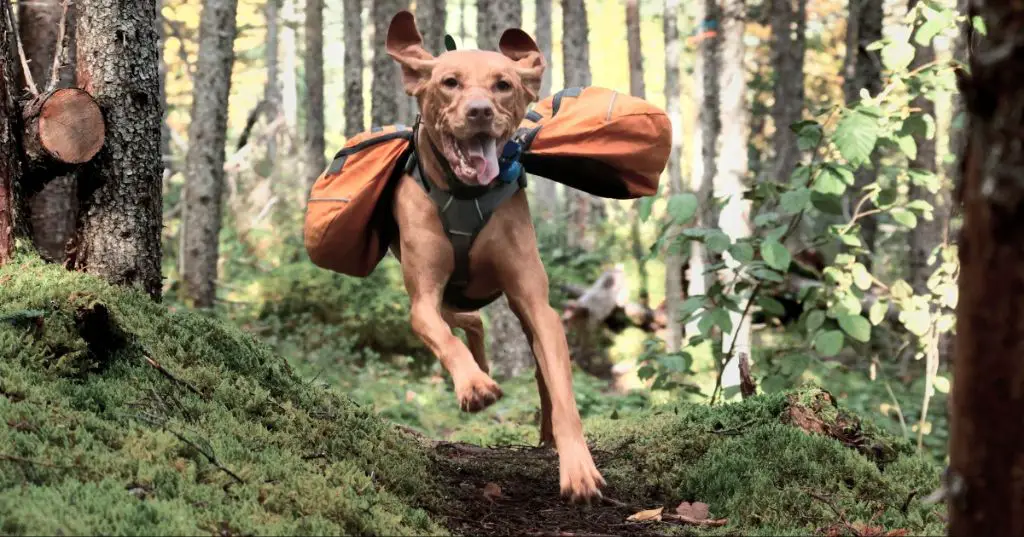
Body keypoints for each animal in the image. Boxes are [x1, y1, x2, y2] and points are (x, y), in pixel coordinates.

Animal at [385, 9, 606, 504]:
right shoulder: (422, 298)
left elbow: (563, 392)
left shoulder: (536, 304)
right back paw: (479, 369)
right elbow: (439, 334)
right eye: (449, 82)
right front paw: (474, 386)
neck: (466, 192)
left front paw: (578, 467)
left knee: (534, 368)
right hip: (443, 294)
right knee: (466, 322)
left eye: (503, 85)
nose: (480, 111)